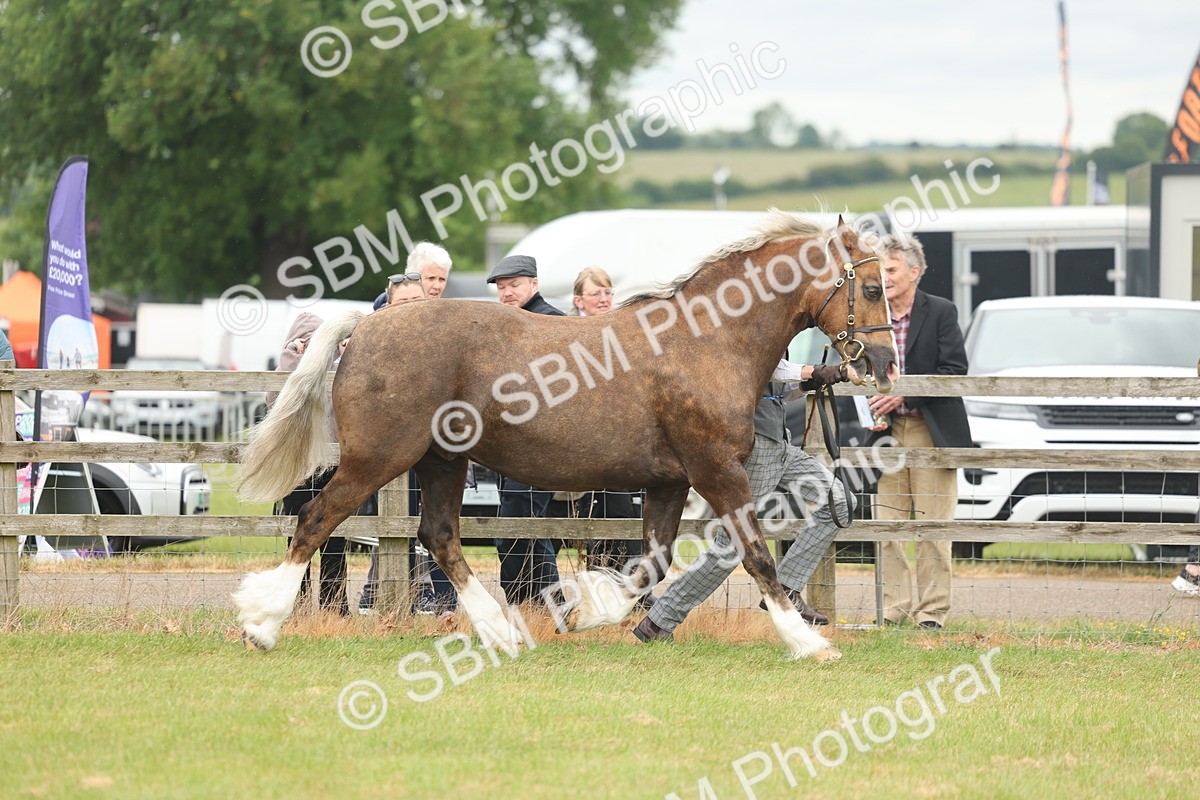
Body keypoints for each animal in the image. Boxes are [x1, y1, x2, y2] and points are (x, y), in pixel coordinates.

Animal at [233, 211, 898, 660]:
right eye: (870, 288)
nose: (886, 364)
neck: (707, 341)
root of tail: (367, 327)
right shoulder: (716, 471)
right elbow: (755, 554)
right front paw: (808, 643)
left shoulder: (668, 483)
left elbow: (650, 566)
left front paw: (584, 612)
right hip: (378, 458)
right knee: (317, 519)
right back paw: (262, 623)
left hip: (442, 462)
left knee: (440, 537)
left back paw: (500, 633)